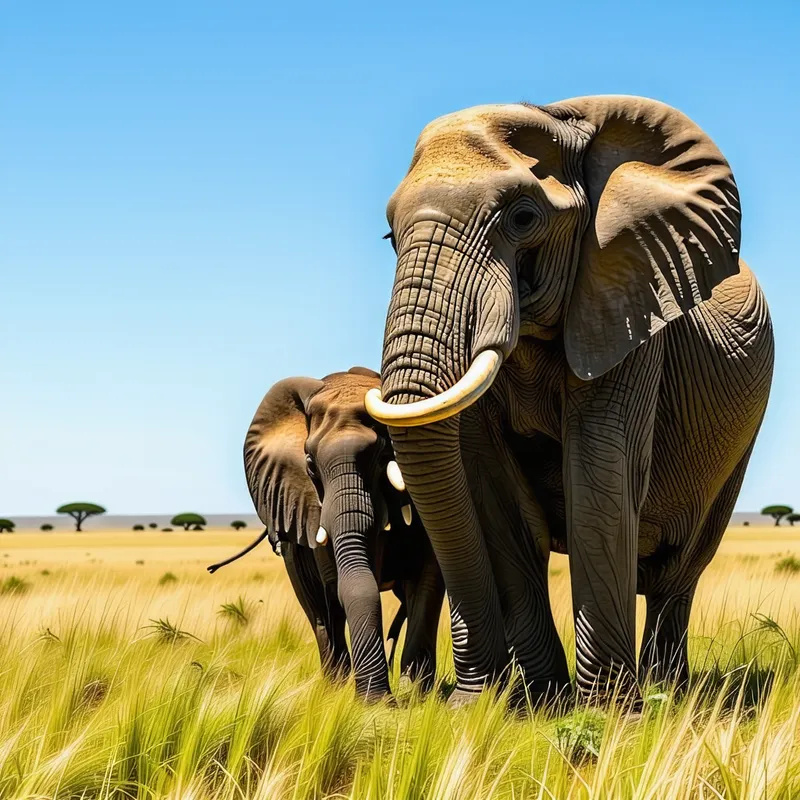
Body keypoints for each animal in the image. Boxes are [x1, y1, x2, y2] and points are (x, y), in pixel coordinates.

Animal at [209, 367, 444, 700]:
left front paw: (416, 695)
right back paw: (333, 687)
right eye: (309, 464)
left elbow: (426, 580)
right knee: (316, 608)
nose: (383, 701)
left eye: (384, 455)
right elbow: (337, 585)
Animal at [365, 95, 774, 705]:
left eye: (522, 218)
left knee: (679, 572)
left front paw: (609, 710)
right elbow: (494, 488)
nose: (466, 694)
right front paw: (536, 702)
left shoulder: (628, 303)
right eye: (390, 236)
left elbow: (600, 469)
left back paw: (667, 691)